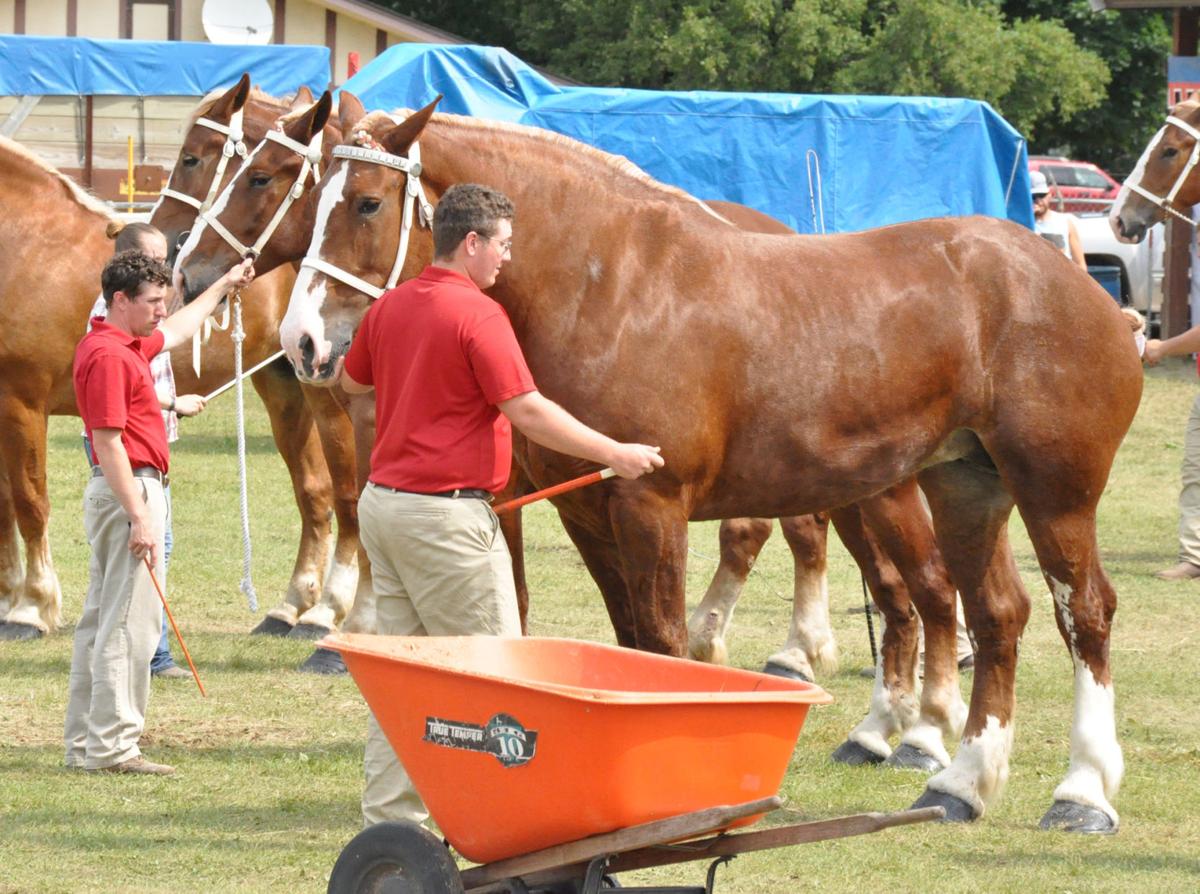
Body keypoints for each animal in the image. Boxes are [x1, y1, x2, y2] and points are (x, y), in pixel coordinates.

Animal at [174, 97, 978, 771]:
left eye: (365, 202)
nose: (301, 340)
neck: (609, 291)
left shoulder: (635, 504)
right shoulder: (571, 504)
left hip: (887, 494)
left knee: (929, 592)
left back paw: (921, 730)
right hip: (861, 492)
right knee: (897, 595)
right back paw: (877, 726)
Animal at [262, 104, 1140, 832]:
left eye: (366, 202)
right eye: (311, 197)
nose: (302, 340)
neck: (608, 284)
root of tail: (1085, 288)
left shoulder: (652, 502)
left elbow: (662, 640)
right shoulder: (589, 510)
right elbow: (627, 647)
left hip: (1054, 493)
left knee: (1084, 615)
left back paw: (1082, 793)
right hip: (965, 487)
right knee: (996, 616)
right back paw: (960, 783)